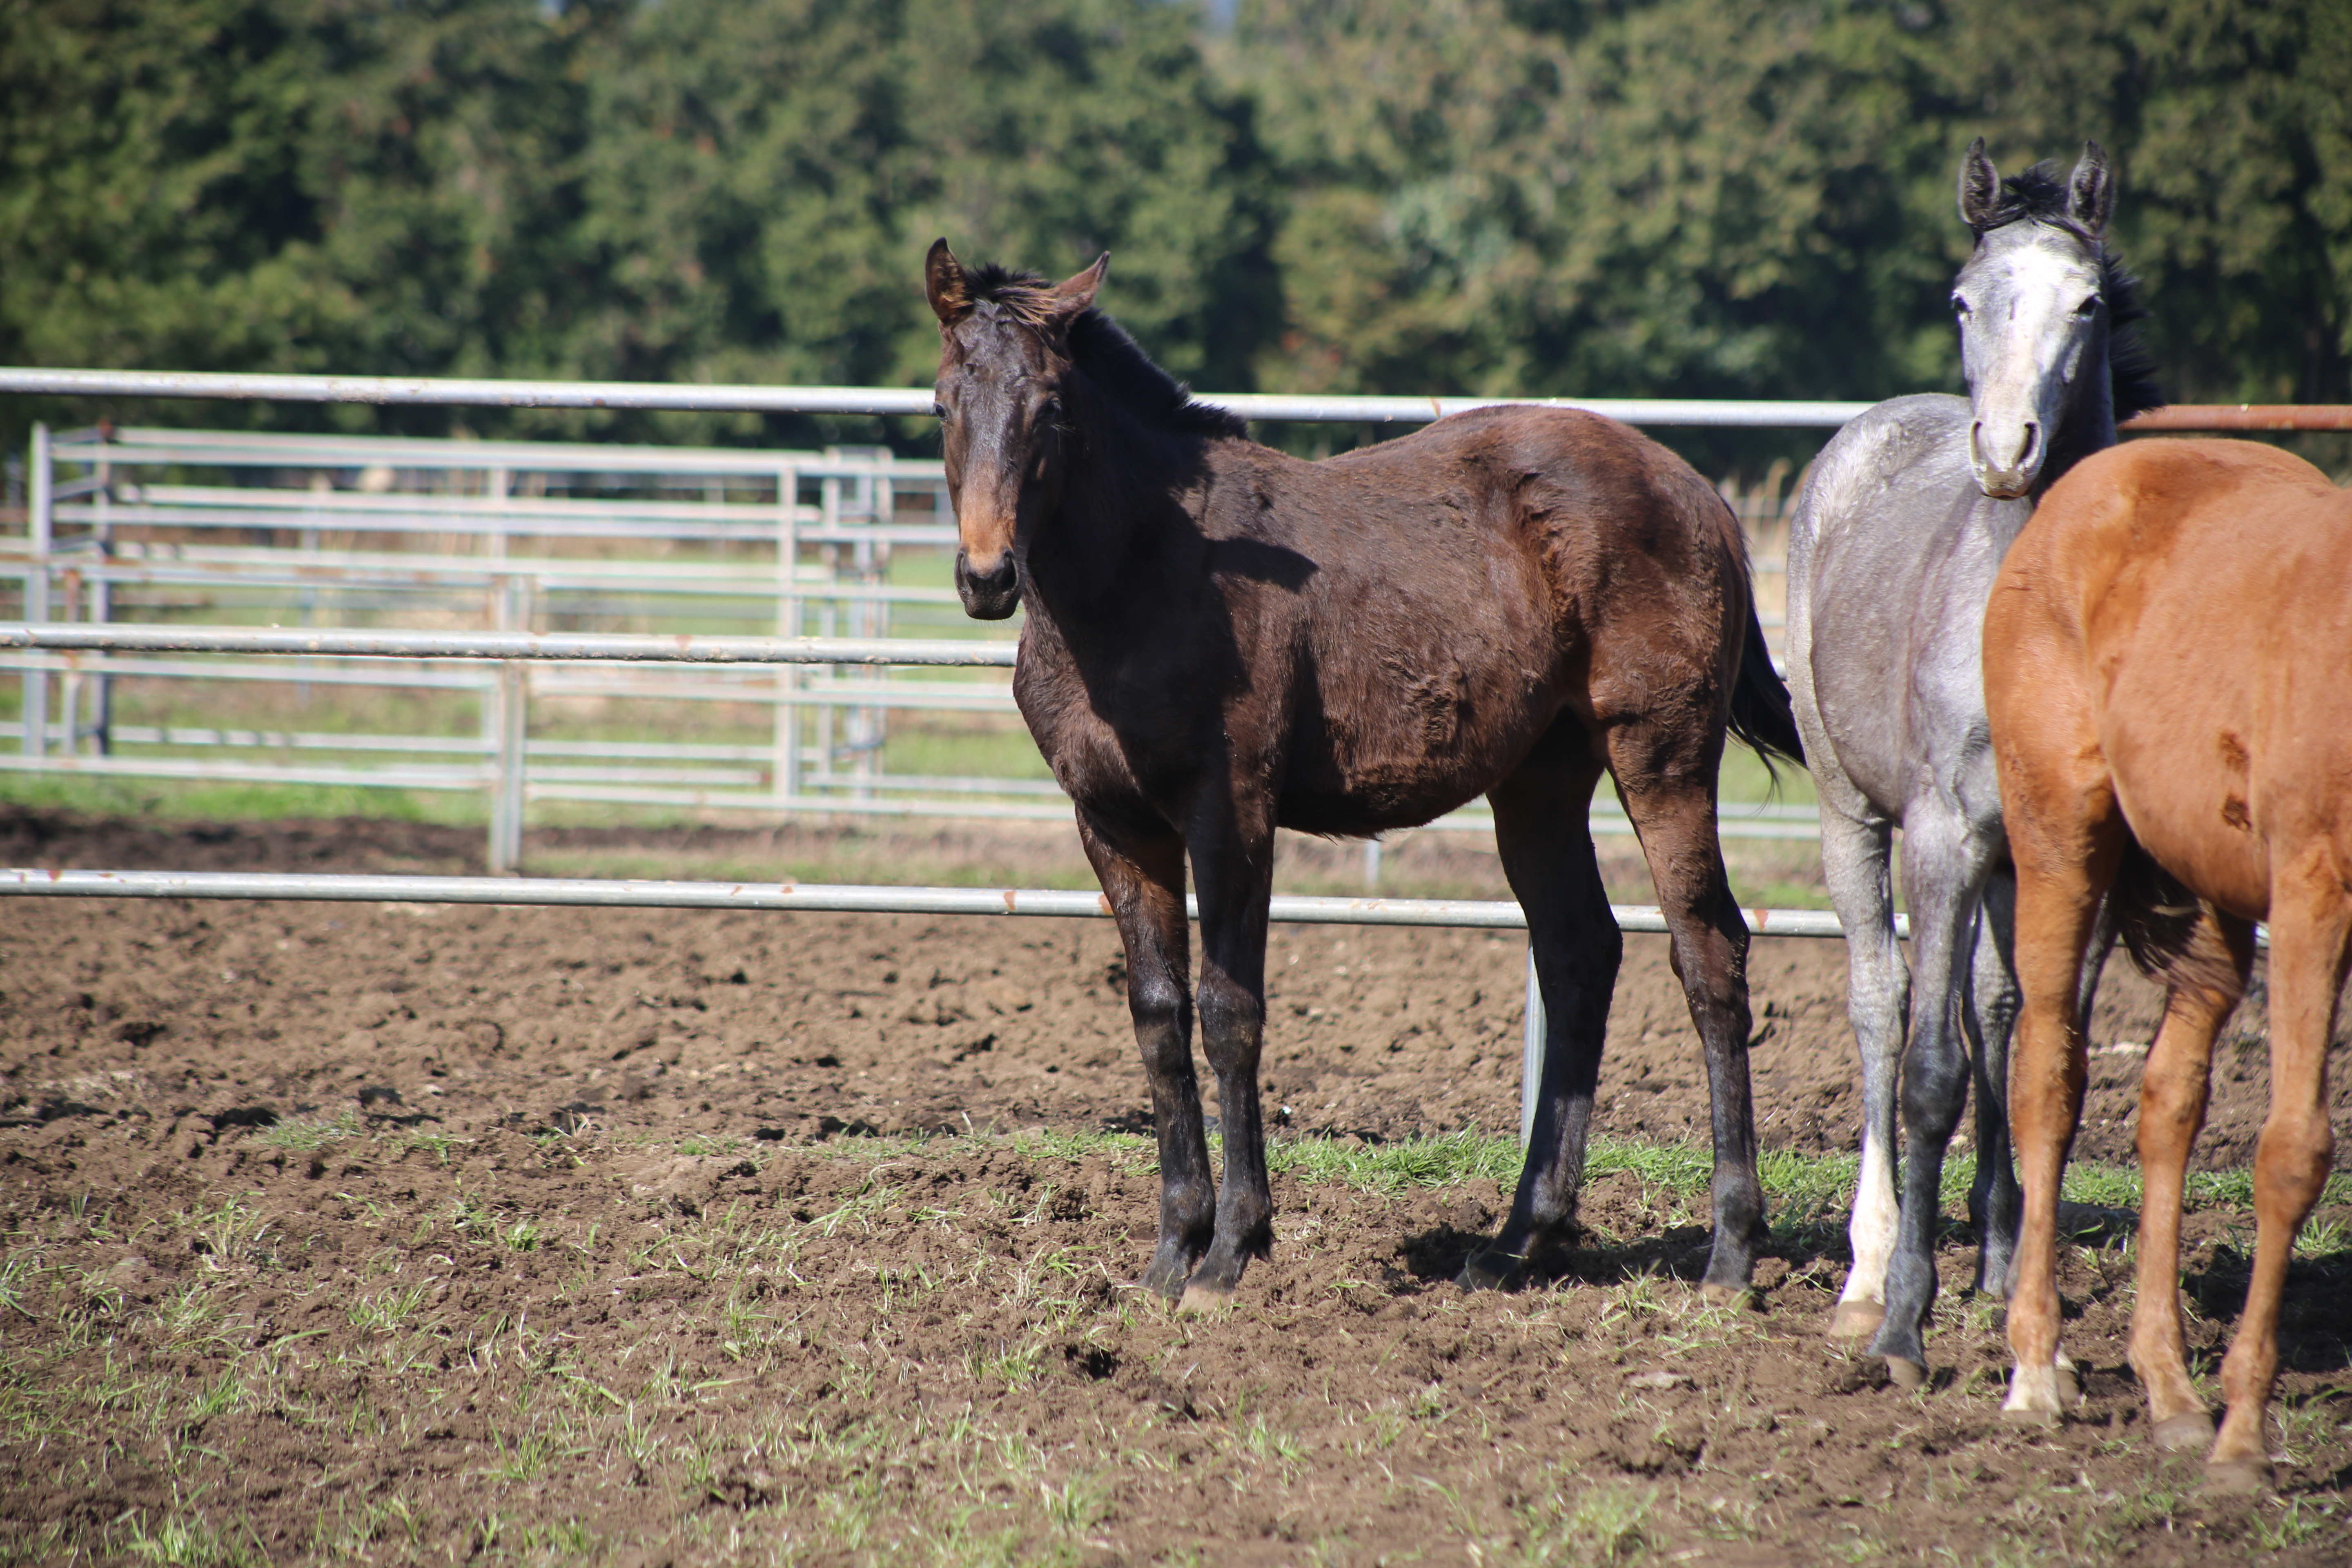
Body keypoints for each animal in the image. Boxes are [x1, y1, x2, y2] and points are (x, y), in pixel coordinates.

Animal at [917, 240, 1797, 1307]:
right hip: (1538, 782)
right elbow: (1159, 1016)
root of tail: (1701, 495)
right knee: (1579, 955)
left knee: (1708, 953)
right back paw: (1518, 1240)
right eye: (942, 403)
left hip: (1660, 755)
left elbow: (1230, 1011)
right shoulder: (1113, 824)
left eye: (1049, 408)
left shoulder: (1230, 812)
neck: (1143, 579)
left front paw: (1231, 1249)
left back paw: (1728, 1251)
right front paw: (1170, 1250)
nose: (986, 576)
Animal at [1778, 141, 2154, 1382]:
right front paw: (1905, 1321)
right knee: (1881, 1003)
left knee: (1994, 1007)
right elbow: (1932, 1067)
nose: (2004, 453)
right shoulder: (1941, 837)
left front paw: (2027, 1311)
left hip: (2007, 862)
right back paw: (1864, 1272)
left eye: (2085, 304)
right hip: (1851, 814)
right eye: (1960, 299)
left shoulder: (2081, 857)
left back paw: (1991, 1256)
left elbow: (2051, 1061)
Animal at [1985, 439, 2352, 1486]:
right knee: (2048, 1076)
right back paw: (2034, 1367)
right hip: (2058, 839)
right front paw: (2243, 1440)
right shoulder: (2314, 889)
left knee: (2167, 1102)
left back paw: (2169, 1387)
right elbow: (2292, 1150)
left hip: (2213, 906)